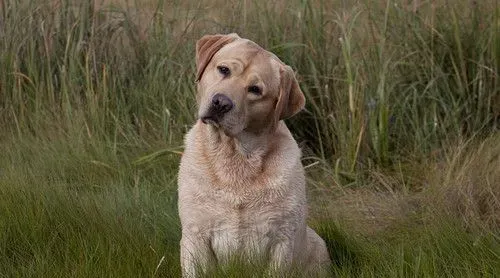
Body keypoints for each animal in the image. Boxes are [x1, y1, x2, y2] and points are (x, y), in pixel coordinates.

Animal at [178, 33, 330, 276]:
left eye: (255, 90)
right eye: (223, 70)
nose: (221, 102)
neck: (235, 157)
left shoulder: (282, 240)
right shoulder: (196, 234)